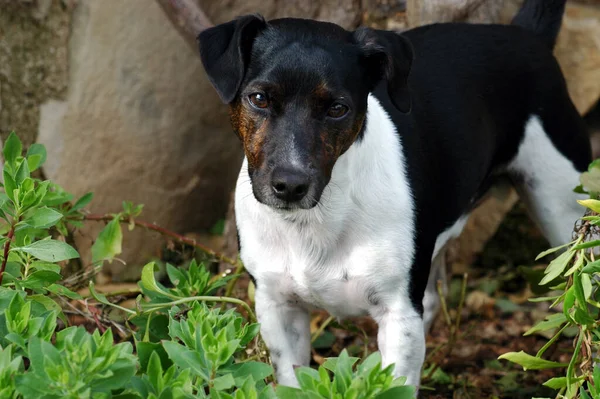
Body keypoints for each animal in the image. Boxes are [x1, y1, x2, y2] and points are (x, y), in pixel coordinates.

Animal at [197, 0, 592, 392]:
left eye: (338, 108)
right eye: (259, 99)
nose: (291, 185)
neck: (320, 216)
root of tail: (526, 34)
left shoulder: (398, 313)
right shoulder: (278, 308)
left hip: (563, 210)